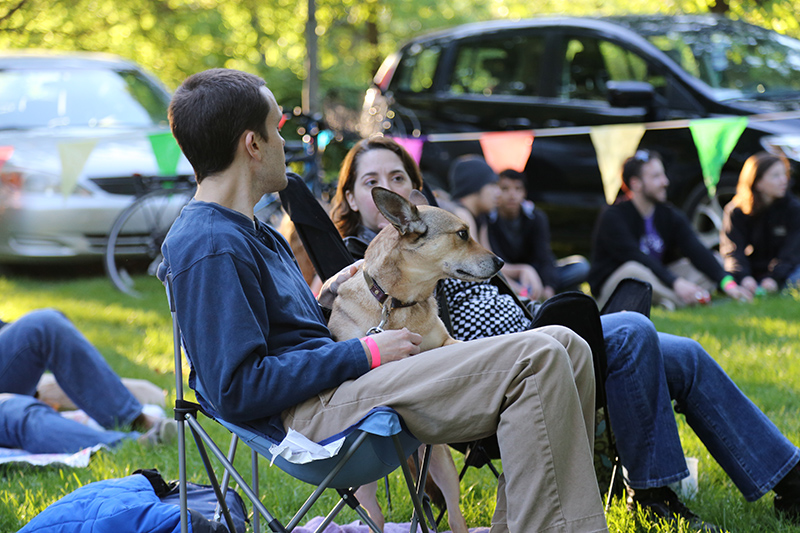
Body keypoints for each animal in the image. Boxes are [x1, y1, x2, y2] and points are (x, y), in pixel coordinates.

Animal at [326, 185, 500, 528]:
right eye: (462, 234)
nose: (500, 261)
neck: (400, 303)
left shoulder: (445, 340)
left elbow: (453, 345)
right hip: (362, 483)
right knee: (374, 515)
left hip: (442, 466)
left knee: (454, 512)